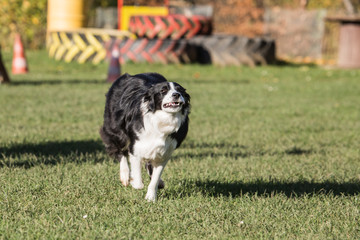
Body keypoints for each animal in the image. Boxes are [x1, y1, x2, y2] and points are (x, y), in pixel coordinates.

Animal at [100, 72, 190, 202]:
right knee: (119, 151)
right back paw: (125, 176)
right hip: (115, 128)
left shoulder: (164, 152)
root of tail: (127, 75)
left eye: (180, 90)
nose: (176, 95)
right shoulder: (136, 147)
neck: (163, 118)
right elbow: (138, 182)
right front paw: (133, 181)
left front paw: (151, 197)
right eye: (163, 91)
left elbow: (155, 177)